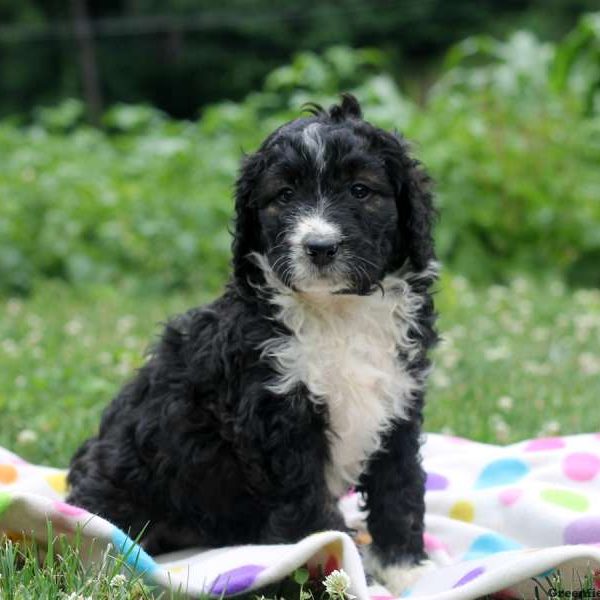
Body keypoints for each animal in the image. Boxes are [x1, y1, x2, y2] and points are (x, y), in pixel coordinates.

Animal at [68, 95, 438, 596]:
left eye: (361, 190)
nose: (319, 247)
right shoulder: (276, 418)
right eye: (283, 196)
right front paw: (333, 569)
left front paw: (407, 570)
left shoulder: (398, 398)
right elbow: (309, 510)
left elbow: (398, 487)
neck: (337, 312)